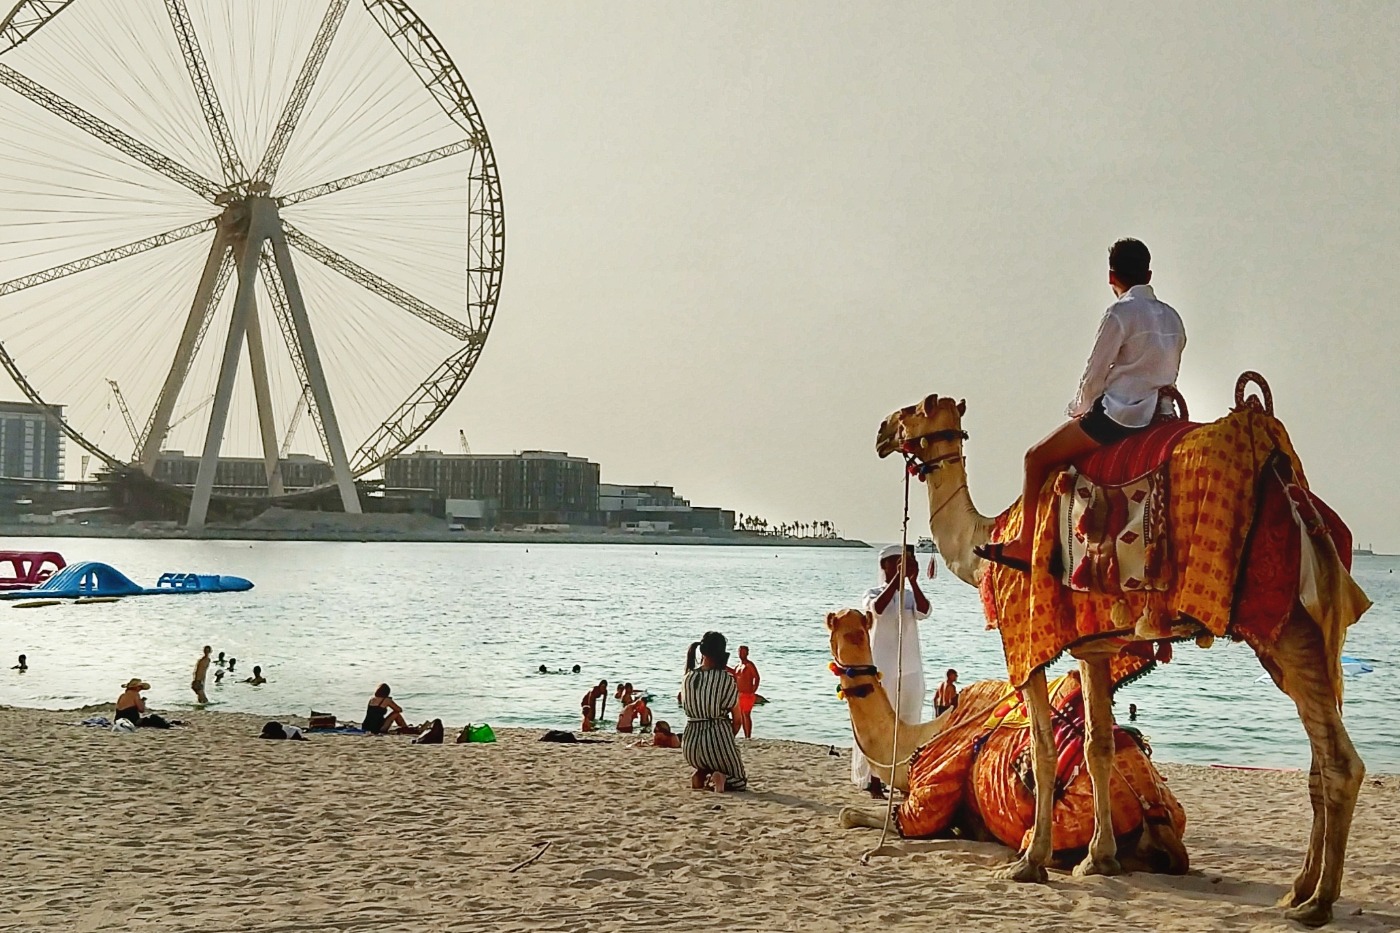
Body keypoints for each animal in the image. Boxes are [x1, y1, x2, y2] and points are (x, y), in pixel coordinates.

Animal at [873, 375, 1366, 924]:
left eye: (913, 409)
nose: (881, 431)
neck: (986, 544)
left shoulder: (1027, 640)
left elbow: (1044, 749)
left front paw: (1030, 862)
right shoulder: (1095, 649)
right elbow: (1098, 747)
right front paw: (1099, 859)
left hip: (1284, 626)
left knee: (1340, 764)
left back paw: (1317, 903)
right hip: (1300, 638)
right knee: (1319, 764)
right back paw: (1297, 891)